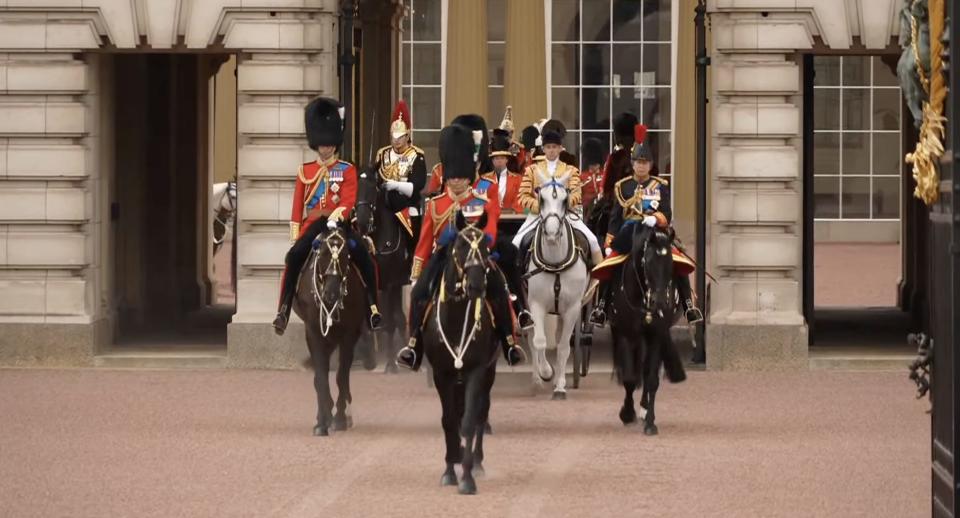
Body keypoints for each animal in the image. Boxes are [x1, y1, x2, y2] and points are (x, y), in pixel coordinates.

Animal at [290, 221, 366, 436]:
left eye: (346, 254)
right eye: (323, 253)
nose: (331, 294)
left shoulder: (349, 333)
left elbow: (341, 376)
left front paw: (339, 417)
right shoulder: (313, 331)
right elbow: (321, 377)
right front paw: (322, 422)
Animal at [354, 169, 410, 372]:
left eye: (372, 187)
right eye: (357, 187)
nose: (361, 222)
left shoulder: (391, 284)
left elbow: (391, 322)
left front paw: (390, 365)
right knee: (402, 318)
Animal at [428, 213, 502, 498]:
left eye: (486, 247)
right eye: (460, 245)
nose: (476, 285)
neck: (457, 317)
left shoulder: (476, 372)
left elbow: (470, 420)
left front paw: (468, 477)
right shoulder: (442, 374)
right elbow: (449, 421)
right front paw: (450, 470)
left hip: (490, 372)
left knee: (481, 413)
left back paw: (477, 462)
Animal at [524, 173, 592, 400]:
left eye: (565, 199)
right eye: (541, 198)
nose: (552, 234)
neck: (555, 263)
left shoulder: (572, 309)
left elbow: (563, 347)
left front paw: (560, 386)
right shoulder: (535, 304)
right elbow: (539, 341)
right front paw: (546, 372)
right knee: (532, 338)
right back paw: (536, 380)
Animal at [612, 225, 688, 436]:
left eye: (670, 262)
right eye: (649, 263)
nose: (660, 302)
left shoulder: (656, 335)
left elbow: (652, 378)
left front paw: (650, 422)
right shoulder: (625, 333)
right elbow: (629, 378)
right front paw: (627, 413)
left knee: (646, 370)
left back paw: (644, 409)